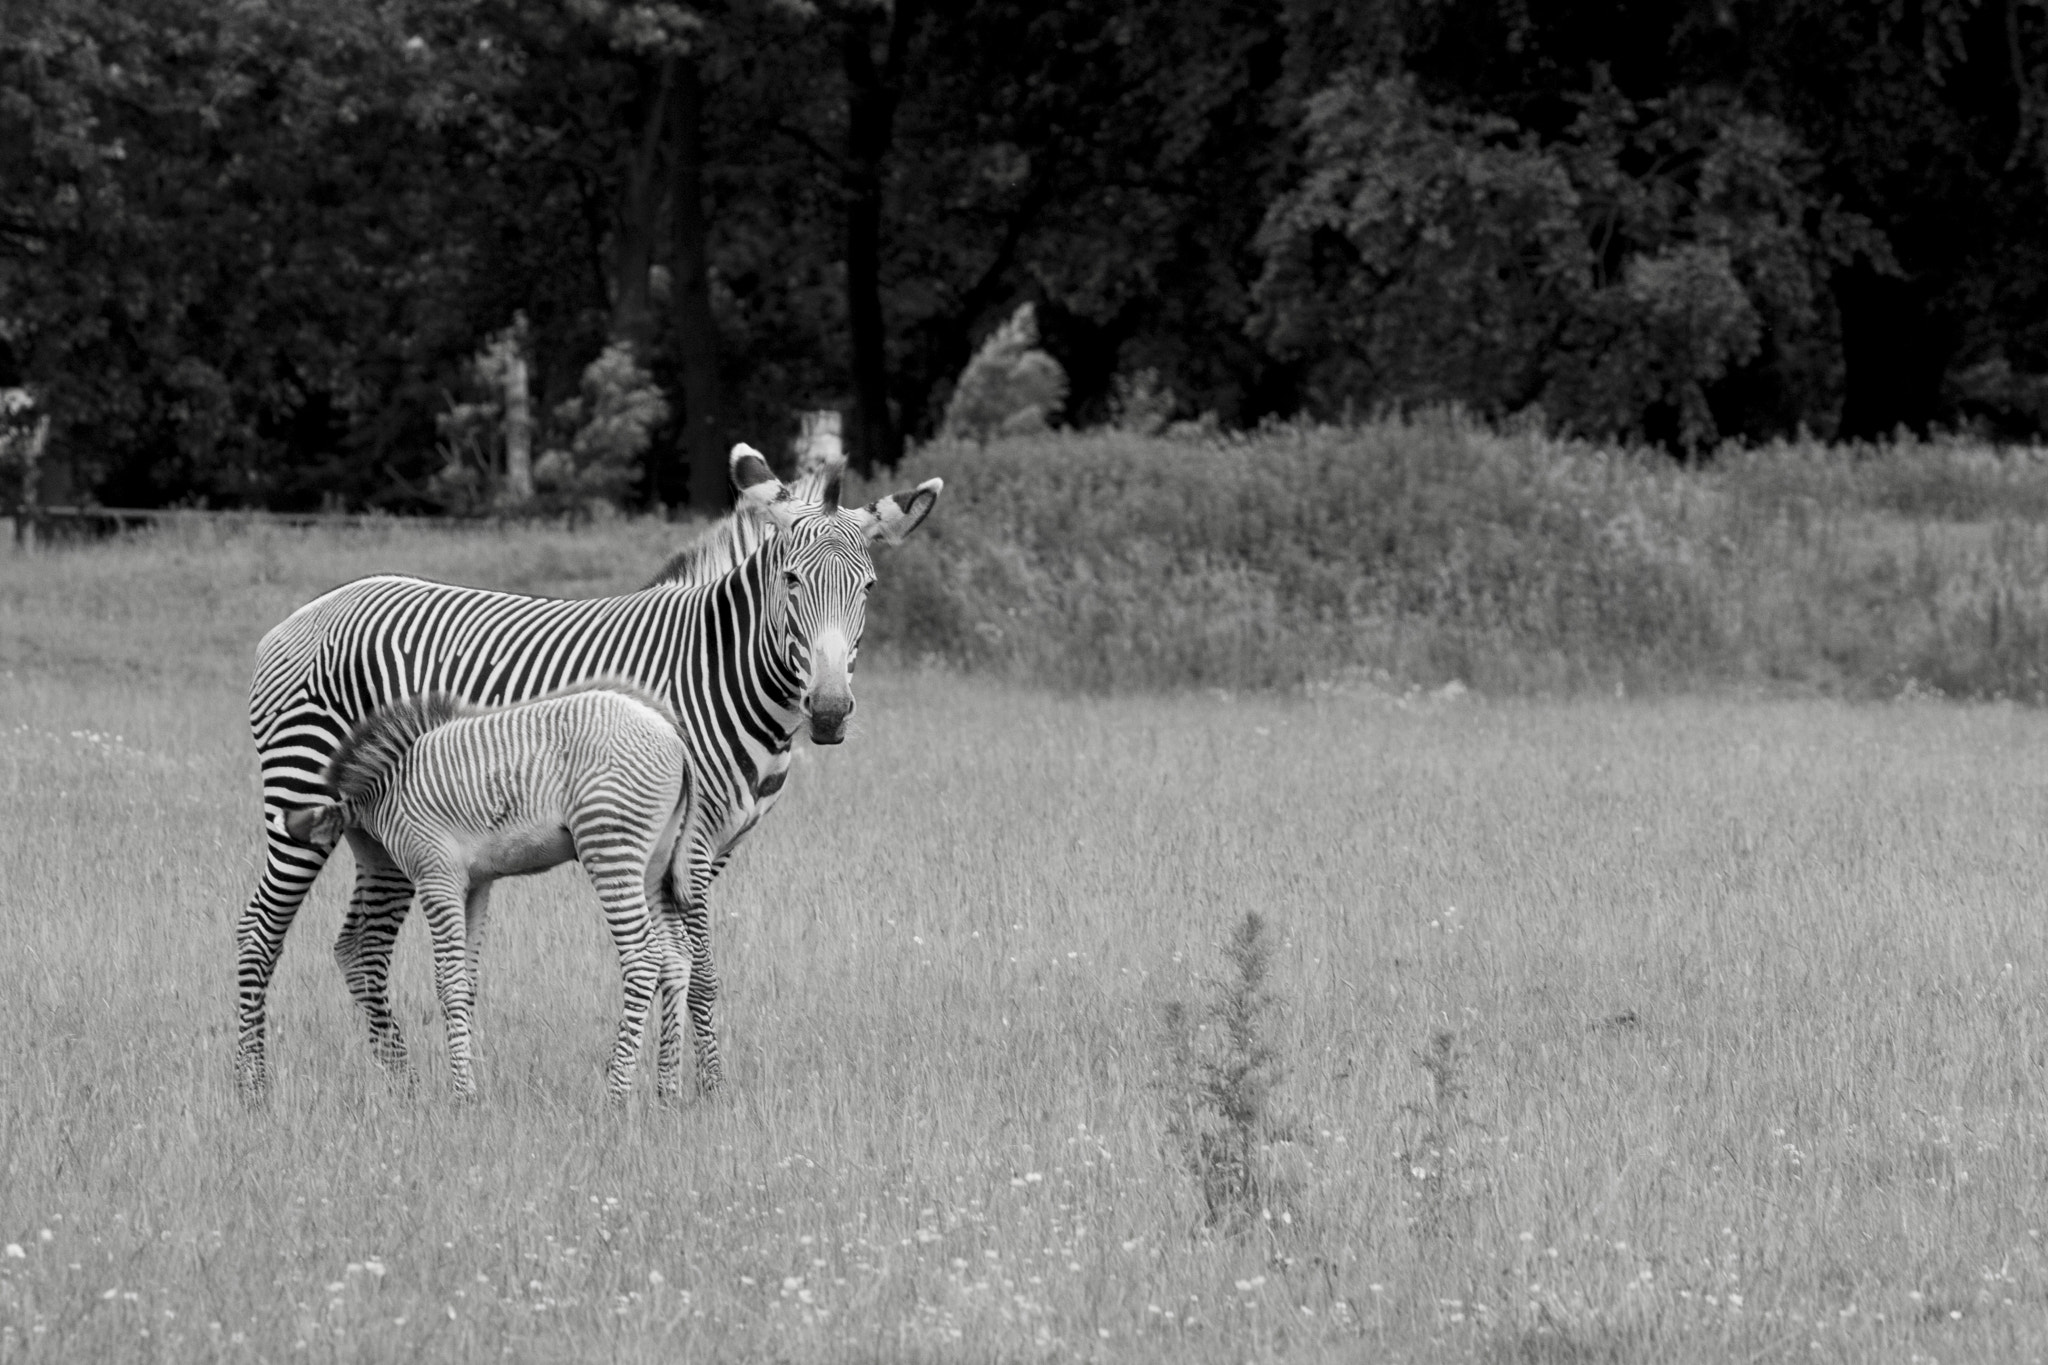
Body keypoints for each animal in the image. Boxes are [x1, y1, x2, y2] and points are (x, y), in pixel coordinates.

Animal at [283, 684, 693, 1103]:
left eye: (360, 851)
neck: (387, 792)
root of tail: (669, 731)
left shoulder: (437, 877)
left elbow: (448, 982)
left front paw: (462, 1093)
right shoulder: (476, 883)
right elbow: (467, 983)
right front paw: (471, 1084)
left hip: (610, 844)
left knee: (643, 956)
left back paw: (616, 1093)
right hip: (654, 862)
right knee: (676, 955)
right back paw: (668, 1090)